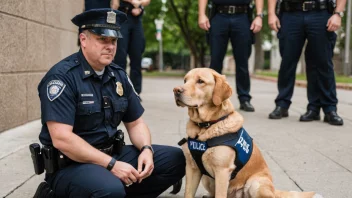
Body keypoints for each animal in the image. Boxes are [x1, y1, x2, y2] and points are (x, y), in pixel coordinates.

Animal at [173, 67, 322, 197]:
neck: (206, 126)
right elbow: (188, 194)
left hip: (254, 183)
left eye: (200, 81)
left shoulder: (222, 171)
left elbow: (220, 195)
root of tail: (274, 190)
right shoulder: (192, 168)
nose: (176, 90)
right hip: (207, 179)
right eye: (185, 80)